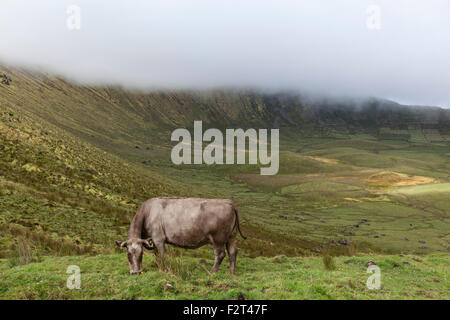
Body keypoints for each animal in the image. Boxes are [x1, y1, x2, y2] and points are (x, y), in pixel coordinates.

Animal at [113, 198, 246, 276]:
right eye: (128, 254)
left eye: (141, 253)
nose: (136, 272)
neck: (147, 212)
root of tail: (229, 202)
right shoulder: (154, 241)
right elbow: (157, 256)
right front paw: (158, 266)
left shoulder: (158, 239)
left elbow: (162, 256)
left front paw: (164, 269)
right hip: (231, 236)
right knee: (233, 252)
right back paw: (231, 273)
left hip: (218, 238)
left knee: (220, 254)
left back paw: (212, 272)